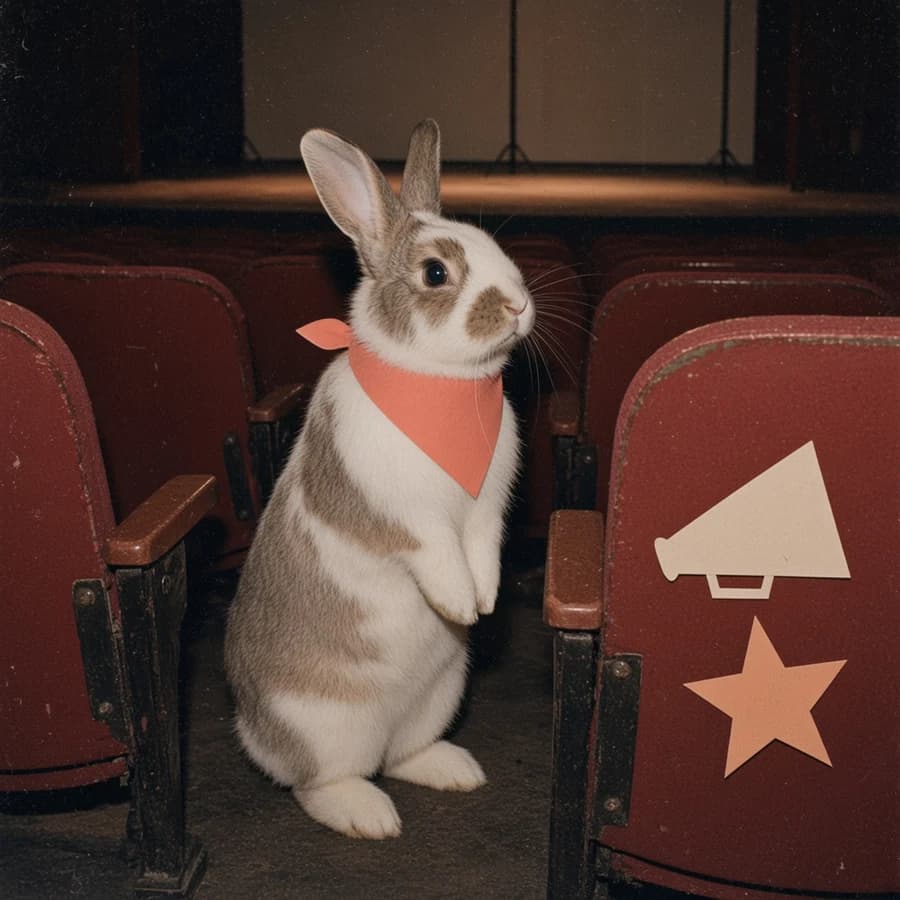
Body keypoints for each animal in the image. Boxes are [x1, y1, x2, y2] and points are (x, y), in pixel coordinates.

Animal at [224, 119, 535, 840]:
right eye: (436, 272)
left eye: (494, 246)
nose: (517, 306)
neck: (440, 384)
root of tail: (253, 730)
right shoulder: (407, 518)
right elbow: (437, 554)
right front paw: (459, 603)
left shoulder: (487, 513)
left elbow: (482, 550)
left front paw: (483, 601)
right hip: (323, 728)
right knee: (319, 780)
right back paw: (369, 817)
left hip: (440, 693)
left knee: (400, 755)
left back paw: (454, 770)